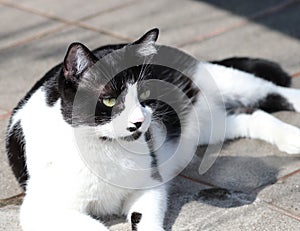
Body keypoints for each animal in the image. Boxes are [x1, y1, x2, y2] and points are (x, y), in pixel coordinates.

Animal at [5, 29, 300, 231]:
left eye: (146, 93)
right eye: (109, 100)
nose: (140, 122)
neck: (105, 147)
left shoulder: (149, 185)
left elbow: (145, 218)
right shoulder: (41, 210)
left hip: (222, 80)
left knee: (271, 91)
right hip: (207, 125)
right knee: (251, 115)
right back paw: (290, 138)